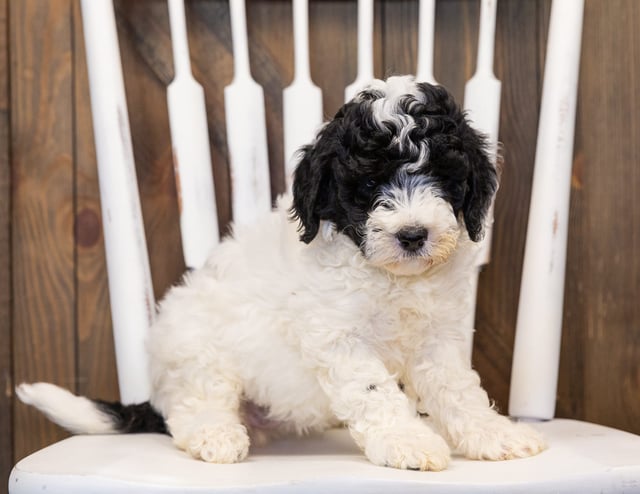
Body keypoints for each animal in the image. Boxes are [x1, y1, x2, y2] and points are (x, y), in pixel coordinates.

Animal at [17, 76, 544, 470]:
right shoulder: (339, 336)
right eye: (369, 184)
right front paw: (407, 442)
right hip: (196, 347)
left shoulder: (438, 336)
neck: (390, 275)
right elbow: (373, 391)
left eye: (441, 177)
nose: (413, 235)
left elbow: (458, 390)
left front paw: (494, 435)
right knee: (192, 405)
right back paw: (216, 434)